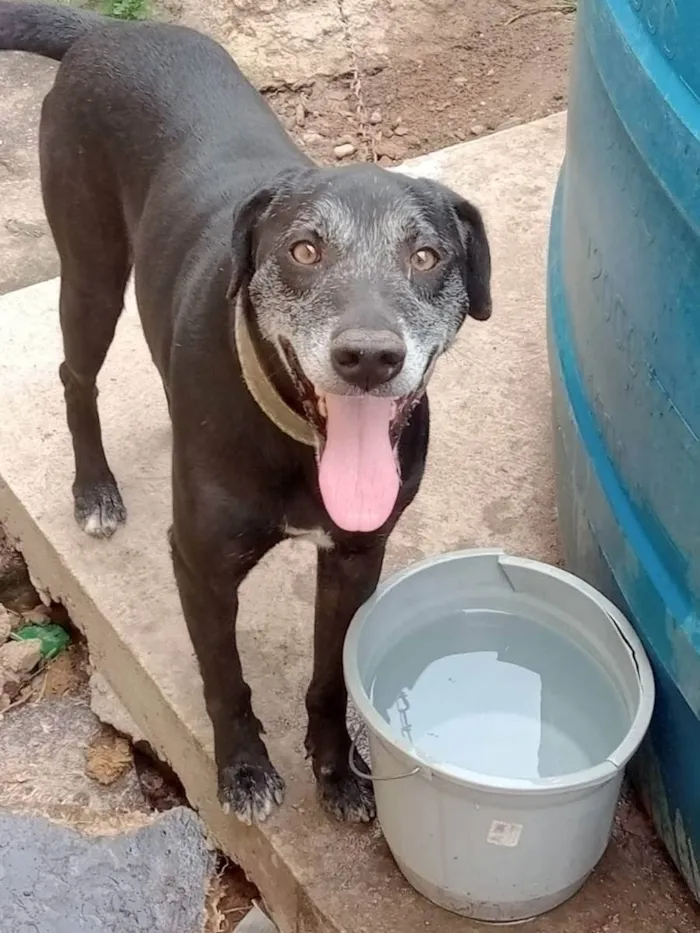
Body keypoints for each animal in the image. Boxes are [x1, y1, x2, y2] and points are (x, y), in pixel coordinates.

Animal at [1, 5, 492, 824]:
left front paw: (338, 770)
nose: (368, 357)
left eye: (426, 257)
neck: (300, 445)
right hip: (90, 268)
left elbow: (329, 677)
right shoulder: (200, 566)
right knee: (76, 376)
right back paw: (94, 488)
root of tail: (104, 32)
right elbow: (224, 680)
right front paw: (245, 770)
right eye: (304, 249)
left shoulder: (356, 557)